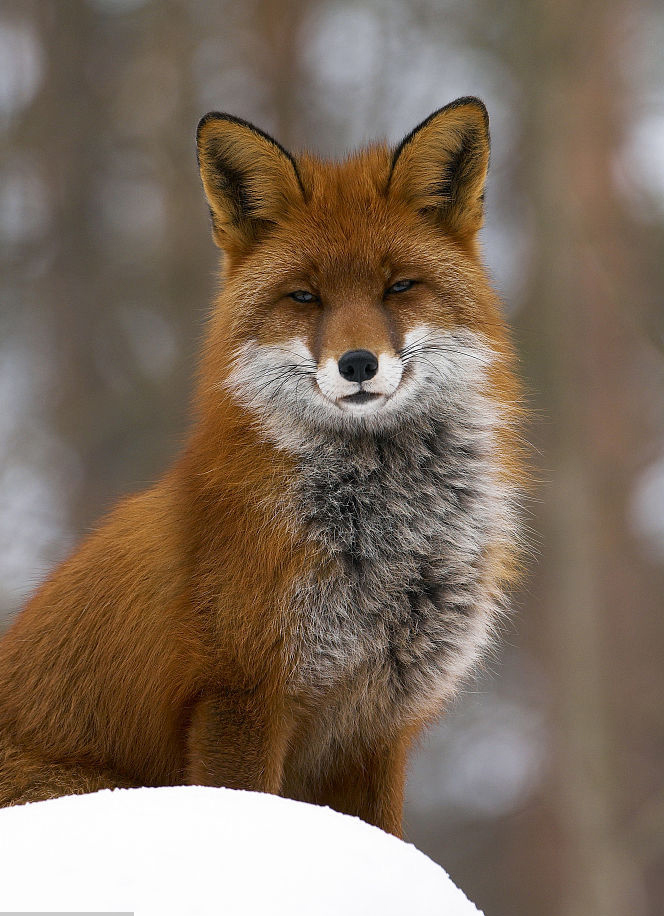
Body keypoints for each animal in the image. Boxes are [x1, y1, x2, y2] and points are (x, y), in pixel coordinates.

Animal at [0, 98, 524, 836]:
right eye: (305, 297)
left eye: (399, 287)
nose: (357, 364)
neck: (383, 542)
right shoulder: (240, 695)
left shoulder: (376, 726)